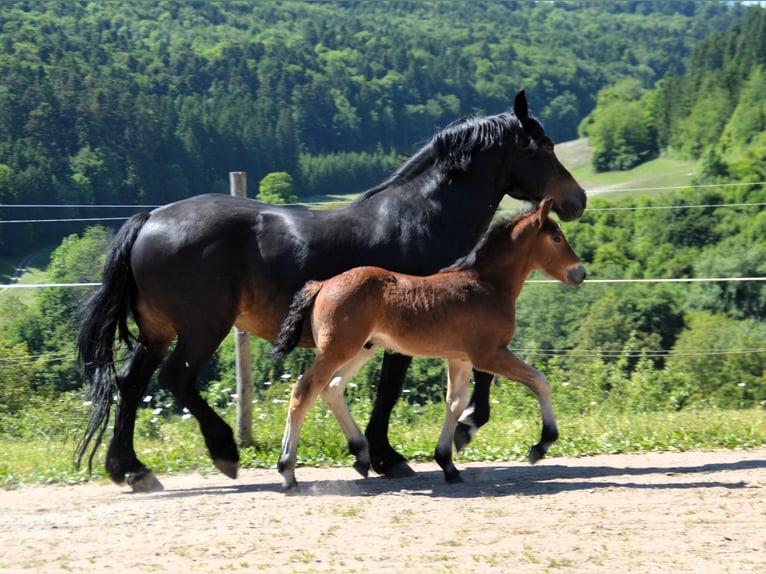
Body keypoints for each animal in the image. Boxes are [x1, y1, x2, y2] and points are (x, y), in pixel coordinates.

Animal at [270, 197, 585, 492]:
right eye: (556, 238)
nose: (579, 272)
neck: (487, 285)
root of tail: (322, 284)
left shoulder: (461, 358)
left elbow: (455, 403)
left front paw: (448, 463)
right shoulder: (489, 355)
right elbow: (540, 381)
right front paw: (541, 445)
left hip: (362, 349)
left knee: (332, 388)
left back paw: (361, 455)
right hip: (337, 350)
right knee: (304, 391)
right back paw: (288, 471)